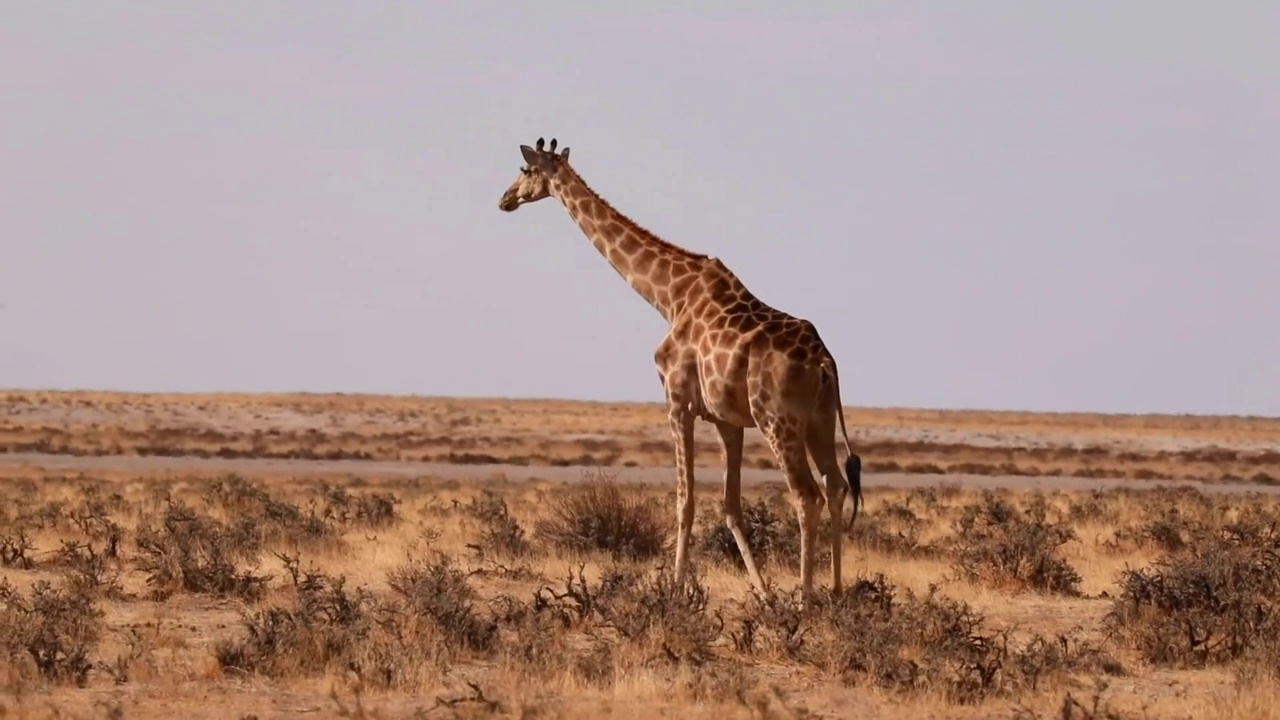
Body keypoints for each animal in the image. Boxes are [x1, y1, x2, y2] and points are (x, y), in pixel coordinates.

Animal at [494, 135, 865, 594]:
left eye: (525, 170)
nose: (505, 199)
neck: (667, 296)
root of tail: (824, 362)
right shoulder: (726, 420)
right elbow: (730, 506)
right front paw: (762, 593)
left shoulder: (677, 401)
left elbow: (684, 502)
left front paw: (674, 591)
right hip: (819, 419)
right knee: (835, 485)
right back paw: (835, 592)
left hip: (778, 420)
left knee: (806, 495)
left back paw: (806, 598)